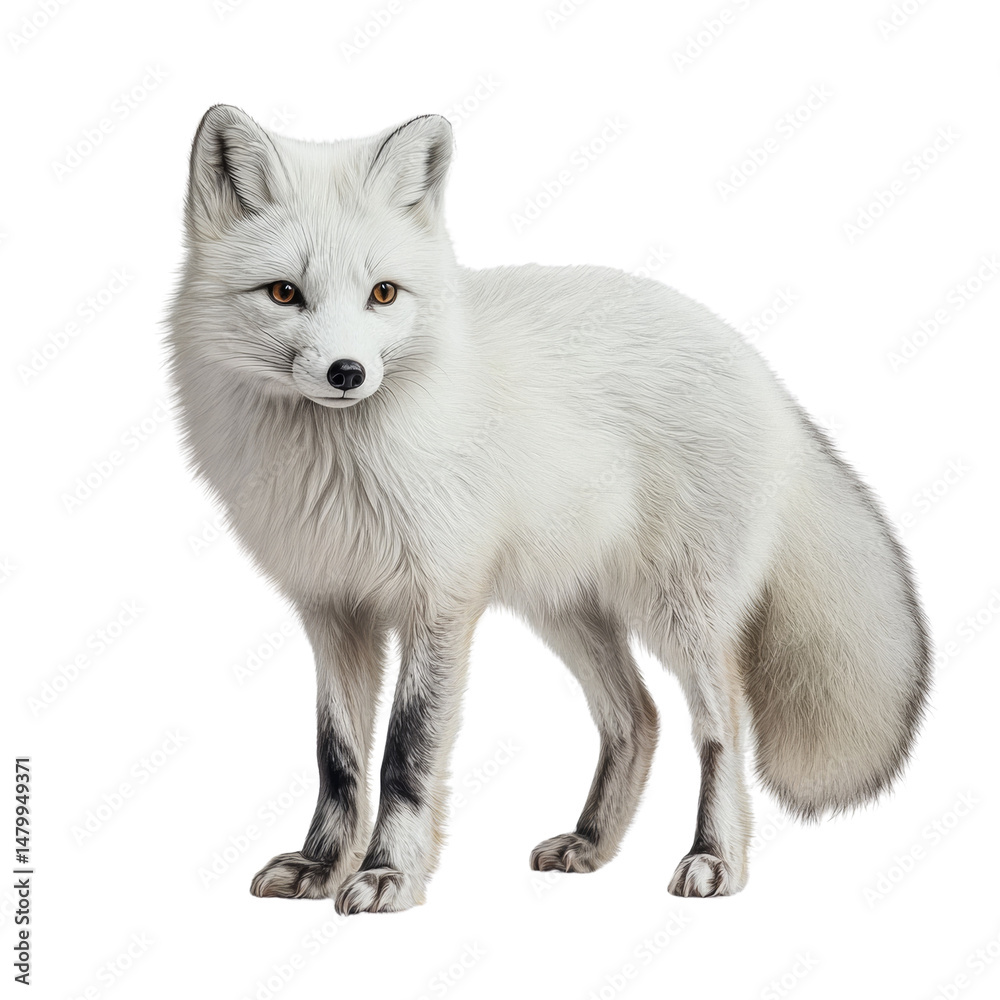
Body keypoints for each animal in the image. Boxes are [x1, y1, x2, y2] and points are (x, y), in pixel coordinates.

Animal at [166, 105, 931, 913]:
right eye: (284, 294)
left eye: (383, 294)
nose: (349, 372)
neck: (341, 469)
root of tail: (761, 371)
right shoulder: (332, 607)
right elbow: (337, 756)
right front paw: (321, 865)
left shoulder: (440, 604)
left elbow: (406, 753)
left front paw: (388, 875)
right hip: (566, 609)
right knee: (638, 718)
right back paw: (591, 843)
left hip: (680, 614)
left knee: (722, 727)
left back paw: (715, 858)